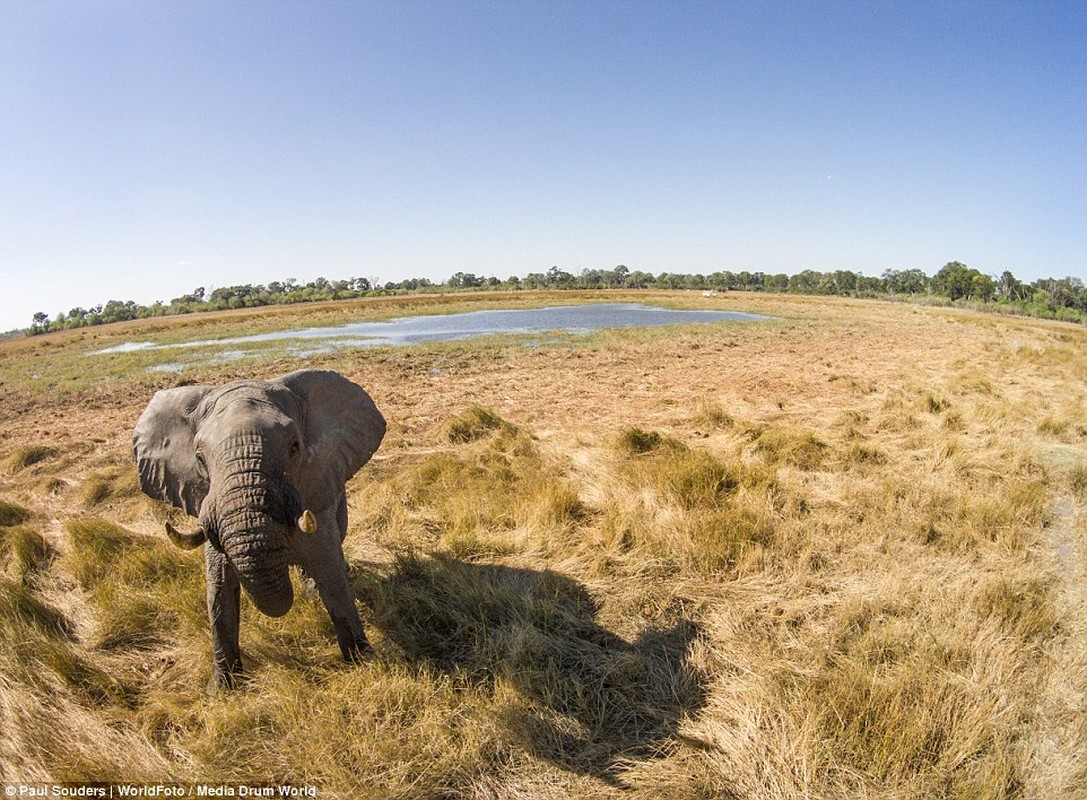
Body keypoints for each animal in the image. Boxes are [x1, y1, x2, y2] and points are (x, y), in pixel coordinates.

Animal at [133, 369, 386, 686]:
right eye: (200, 458)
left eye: (294, 447)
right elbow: (218, 591)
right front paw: (222, 689)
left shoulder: (314, 489)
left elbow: (332, 575)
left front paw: (362, 663)